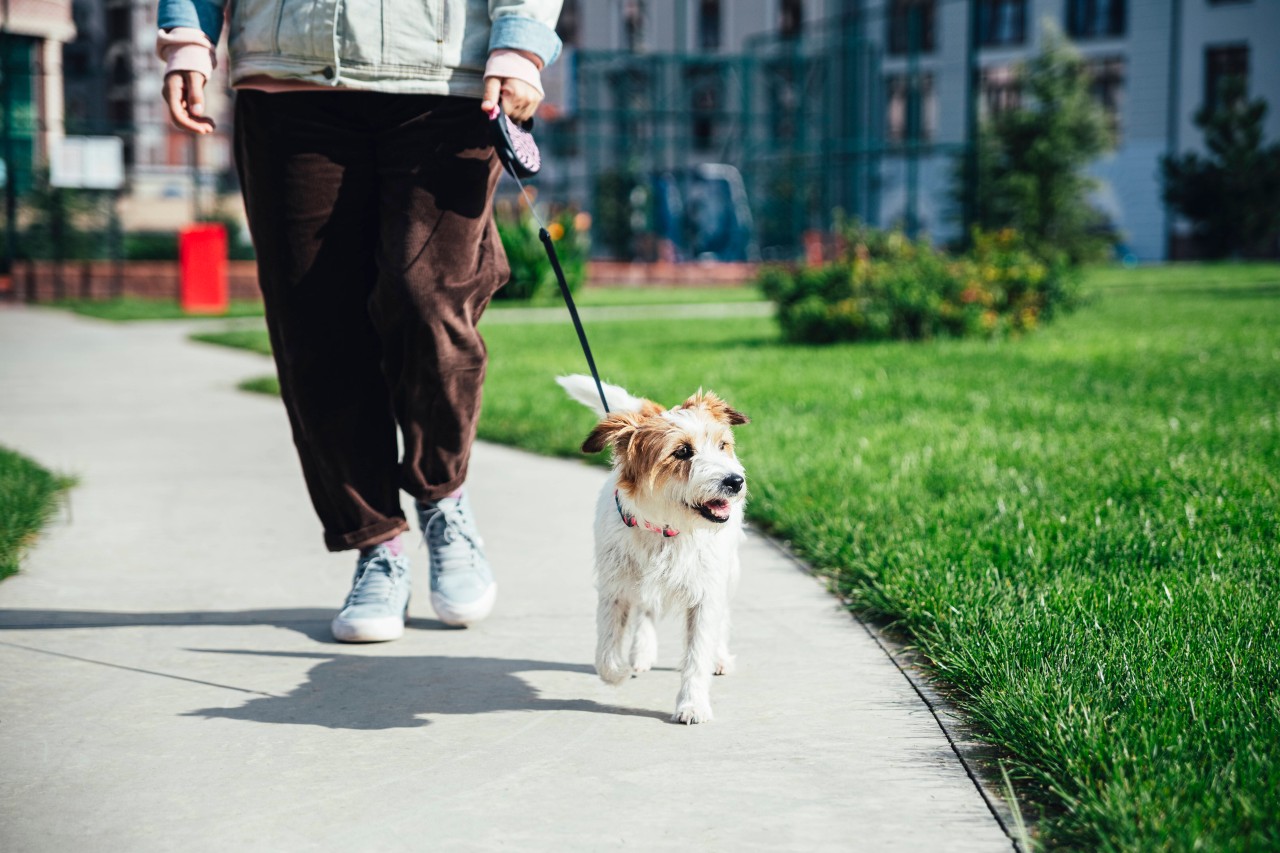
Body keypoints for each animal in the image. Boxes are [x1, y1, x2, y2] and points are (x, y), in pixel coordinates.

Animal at [555, 376, 747, 722]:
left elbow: (698, 653)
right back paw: (640, 653)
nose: (735, 481)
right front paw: (618, 672)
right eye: (682, 451)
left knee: (722, 615)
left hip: (729, 571)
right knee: (646, 610)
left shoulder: (705, 593)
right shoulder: (614, 588)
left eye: (722, 445)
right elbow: (606, 652)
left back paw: (720, 657)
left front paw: (692, 704)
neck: (665, 529)